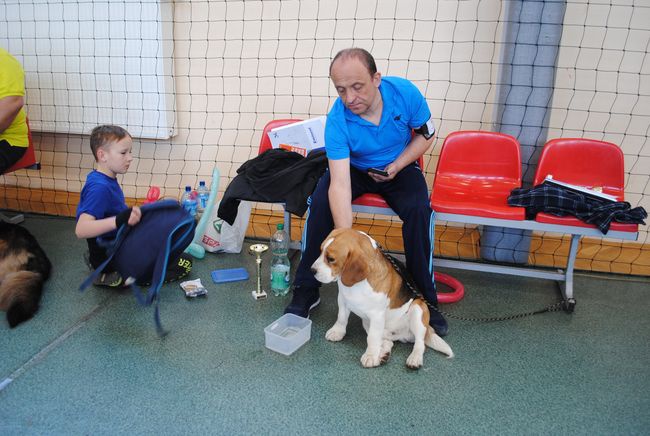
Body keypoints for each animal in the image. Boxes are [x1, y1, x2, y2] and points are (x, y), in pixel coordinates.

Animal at [312, 228, 454, 368]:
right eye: (320, 251)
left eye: (331, 259)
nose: (312, 270)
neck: (358, 283)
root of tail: (402, 335)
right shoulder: (343, 300)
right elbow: (341, 318)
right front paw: (337, 332)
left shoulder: (376, 315)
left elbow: (372, 338)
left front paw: (370, 356)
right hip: (368, 323)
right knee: (388, 342)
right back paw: (383, 354)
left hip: (418, 309)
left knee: (419, 343)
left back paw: (414, 358)